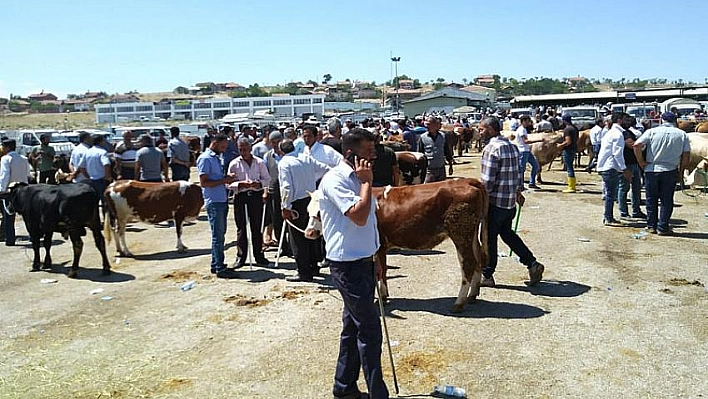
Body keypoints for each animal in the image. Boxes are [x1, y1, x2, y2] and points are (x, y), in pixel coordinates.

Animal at [306, 180, 490, 314]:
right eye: (308, 210)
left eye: (321, 212)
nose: (309, 233)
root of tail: (468, 181)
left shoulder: (380, 244)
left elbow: (381, 270)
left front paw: (382, 297)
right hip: (471, 234)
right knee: (478, 259)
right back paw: (472, 295)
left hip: (460, 232)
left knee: (468, 263)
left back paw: (459, 303)